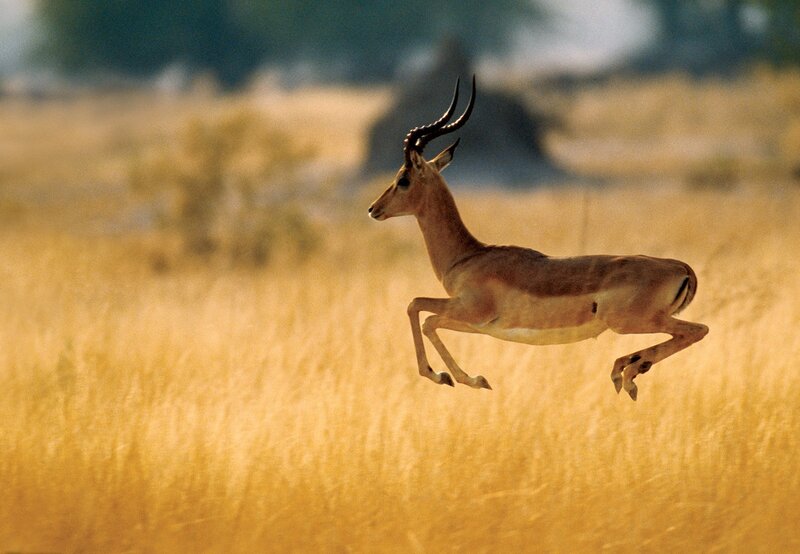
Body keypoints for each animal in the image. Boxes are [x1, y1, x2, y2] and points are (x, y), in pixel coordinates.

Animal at [368, 76, 708, 400]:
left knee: (697, 329)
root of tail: (681, 267)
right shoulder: (480, 326)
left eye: (403, 178)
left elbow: (418, 310)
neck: (468, 256)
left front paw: (454, 378)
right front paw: (465, 378)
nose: (373, 209)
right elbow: (424, 314)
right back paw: (627, 370)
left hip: (632, 322)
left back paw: (626, 373)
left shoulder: (470, 311)